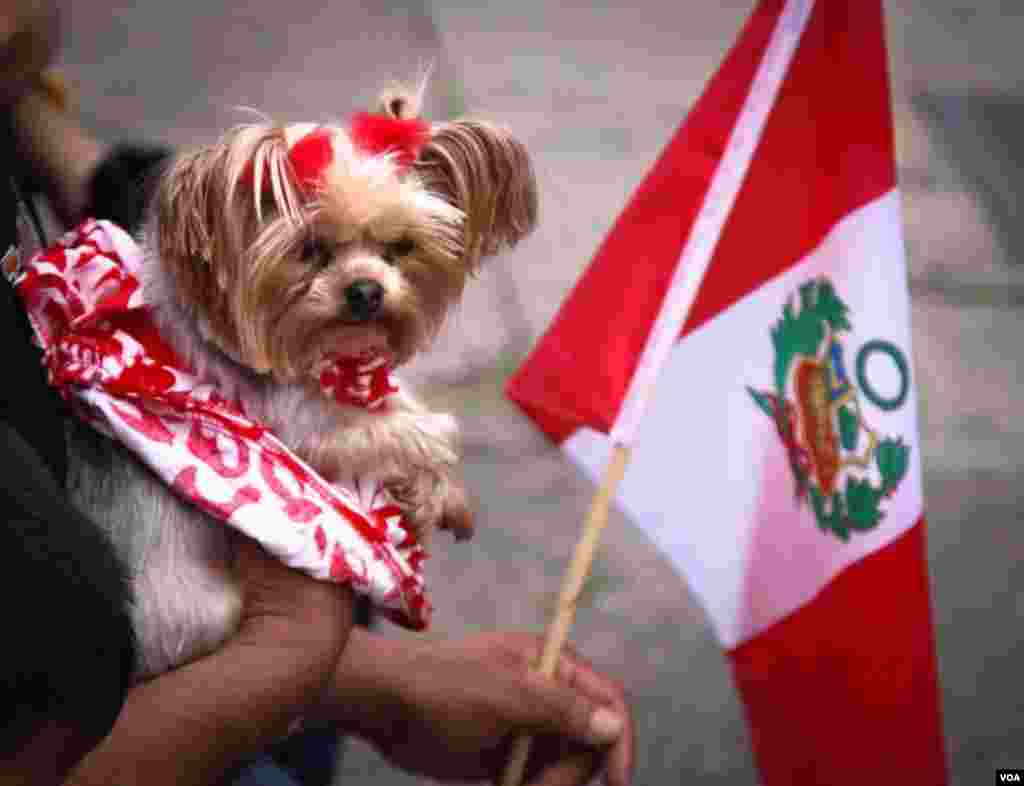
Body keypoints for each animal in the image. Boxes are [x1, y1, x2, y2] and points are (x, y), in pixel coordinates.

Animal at [66, 84, 536, 675]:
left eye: (401, 247)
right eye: (310, 249)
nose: (366, 291)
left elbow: (404, 409)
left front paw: (438, 489)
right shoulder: (301, 430)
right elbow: (422, 431)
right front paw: (433, 483)